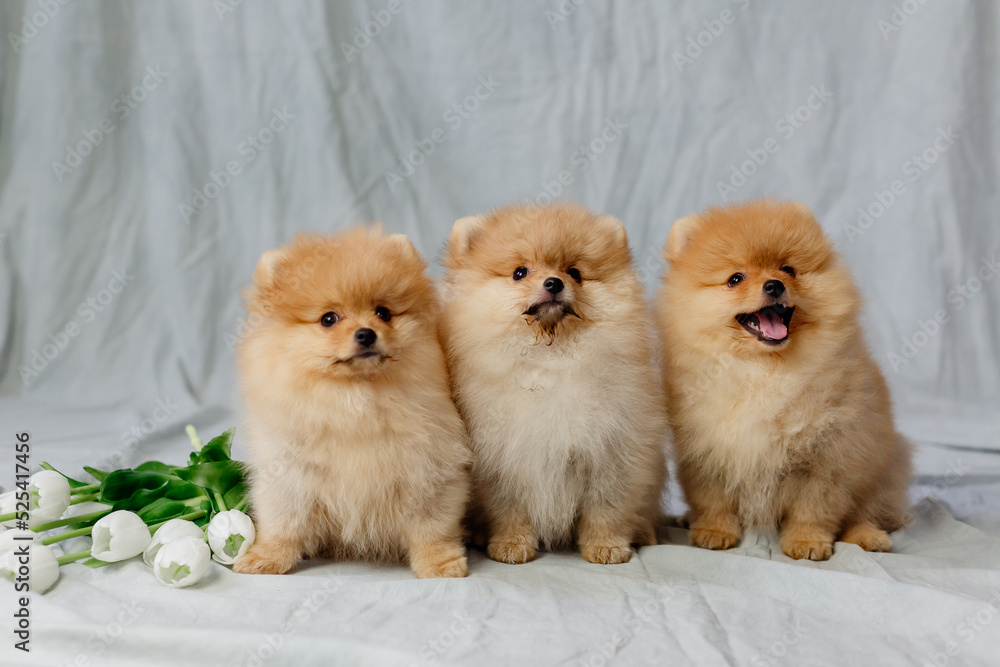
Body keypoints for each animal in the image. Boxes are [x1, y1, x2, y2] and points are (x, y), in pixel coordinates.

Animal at [234, 227, 472, 576]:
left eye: (383, 313)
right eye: (328, 319)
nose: (366, 333)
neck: (355, 403)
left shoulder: (427, 470)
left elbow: (432, 526)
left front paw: (439, 563)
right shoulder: (290, 474)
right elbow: (283, 522)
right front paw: (268, 557)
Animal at [442, 204, 668, 564]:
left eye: (574, 272)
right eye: (520, 272)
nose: (554, 282)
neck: (550, 359)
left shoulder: (613, 453)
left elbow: (607, 507)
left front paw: (606, 546)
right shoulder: (502, 460)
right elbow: (509, 509)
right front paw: (511, 544)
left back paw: (644, 532)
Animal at [660, 201, 912, 560]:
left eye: (788, 270)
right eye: (735, 279)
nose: (774, 285)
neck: (764, 372)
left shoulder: (825, 459)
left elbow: (814, 508)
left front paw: (807, 541)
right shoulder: (708, 451)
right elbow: (714, 500)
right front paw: (713, 531)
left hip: (882, 469)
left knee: (865, 512)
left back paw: (870, 536)